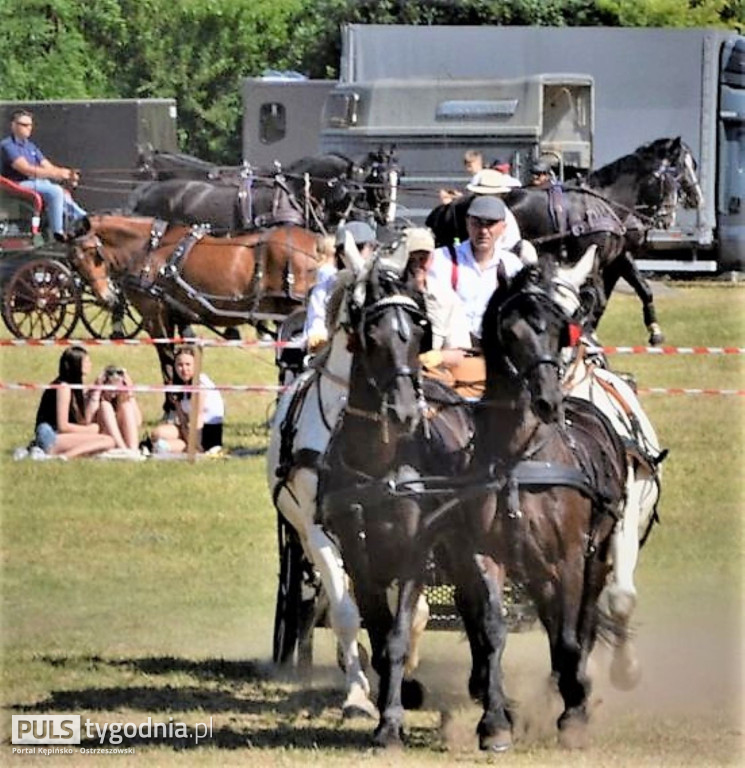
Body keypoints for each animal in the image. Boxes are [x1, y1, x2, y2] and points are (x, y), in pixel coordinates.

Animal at [61, 214, 320, 400]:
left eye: (94, 253)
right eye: (73, 261)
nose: (106, 297)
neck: (149, 251)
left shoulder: (156, 317)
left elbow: (167, 362)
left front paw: (171, 408)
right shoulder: (179, 315)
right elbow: (182, 358)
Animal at [424, 136, 704, 344]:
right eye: (677, 172)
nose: (695, 199)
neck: (604, 204)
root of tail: (455, 204)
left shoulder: (617, 256)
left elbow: (640, 289)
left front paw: (654, 331)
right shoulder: (593, 258)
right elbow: (597, 299)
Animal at [464, 254, 628, 752]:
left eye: (560, 330)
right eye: (511, 331)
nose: (547, 400)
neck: (519, 458)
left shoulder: (570, 556)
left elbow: (572, 636)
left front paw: (574, 713)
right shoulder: (486, 554)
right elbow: (492, 631)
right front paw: (494, 722)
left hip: (593, 556)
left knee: (581, 621)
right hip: (536, 567)